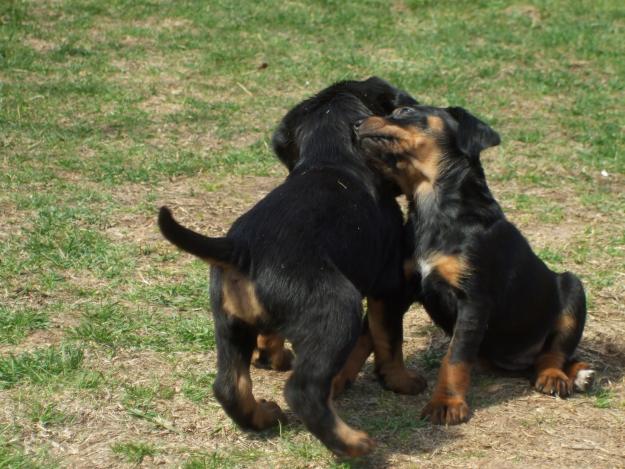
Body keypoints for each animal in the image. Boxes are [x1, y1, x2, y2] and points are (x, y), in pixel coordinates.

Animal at [158, 78, 424, 456]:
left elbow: (272, 335)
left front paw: (273, 356)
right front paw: (403, 382)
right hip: (337, 310)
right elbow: (389, 340)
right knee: (303, 391)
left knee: (229, 385)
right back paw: (354, 444)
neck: (332, 157)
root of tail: (240, 250)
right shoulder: (388, 287)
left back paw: (264, 416)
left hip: (228, 321)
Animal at [356, 105, 596, 424]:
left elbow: (455, 357)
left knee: (554, 351)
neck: (432, 206)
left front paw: (446, 403)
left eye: (405, 111)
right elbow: (383, 336)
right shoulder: (400, 288)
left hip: (572, 287)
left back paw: (557, 376)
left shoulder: (473, 300)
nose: (356, 122)